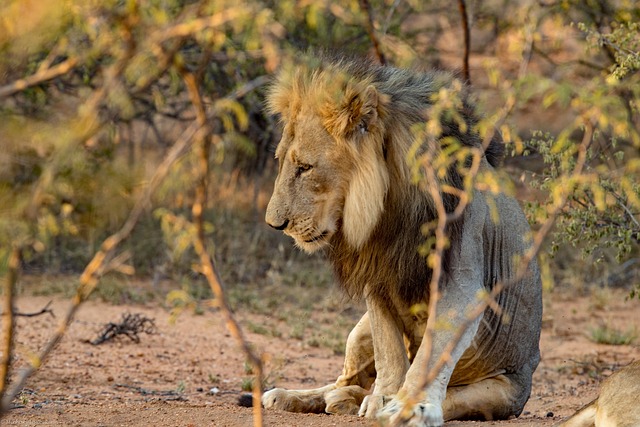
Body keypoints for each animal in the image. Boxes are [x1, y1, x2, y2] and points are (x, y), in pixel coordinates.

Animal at [262, 56, 544, 427]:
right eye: (281, 162)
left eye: (305, 168)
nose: (274, 224)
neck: (388, 203)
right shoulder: (379, 277)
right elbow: (389, 348)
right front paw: (383, 397)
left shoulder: (463, 283)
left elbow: (429, 355)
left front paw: (408, 405)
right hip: (358, 332)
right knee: (345, 379)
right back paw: (305, 396)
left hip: (502, 392)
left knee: (454, 396)